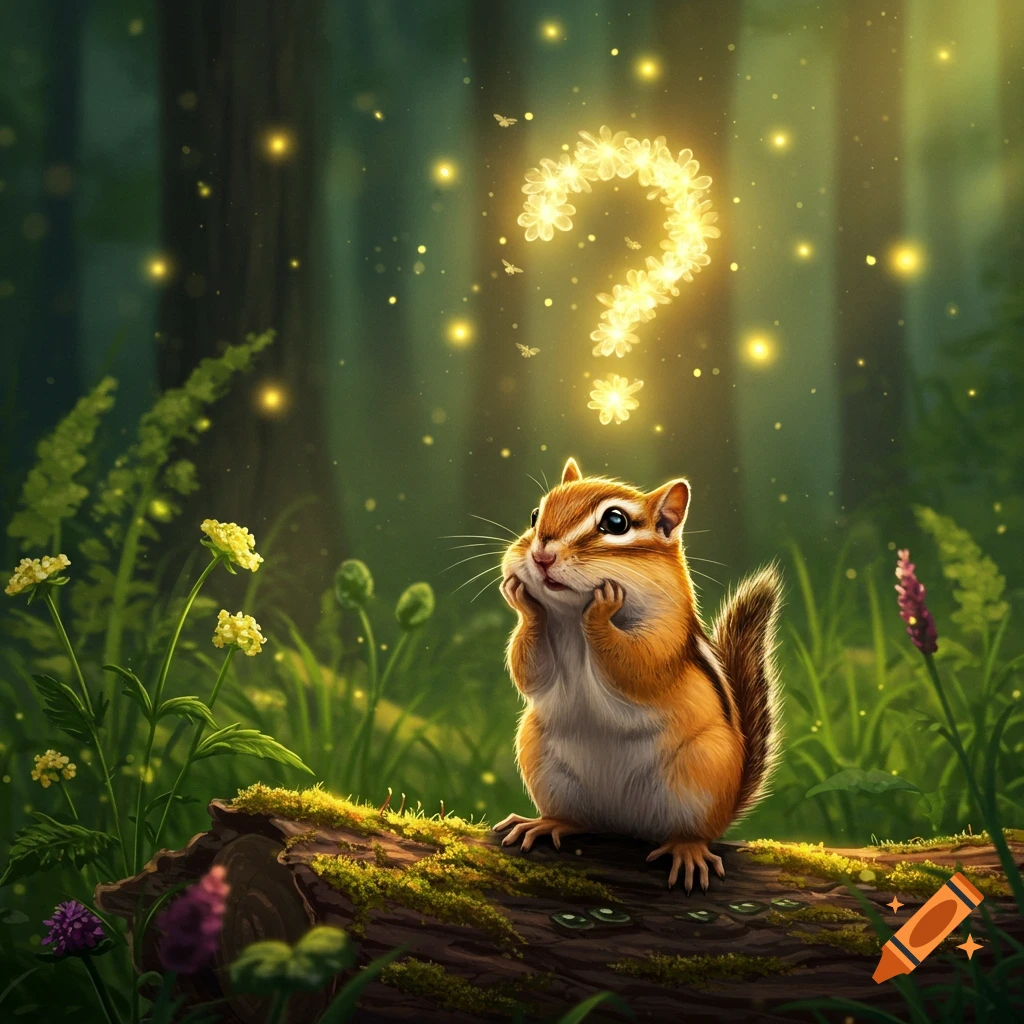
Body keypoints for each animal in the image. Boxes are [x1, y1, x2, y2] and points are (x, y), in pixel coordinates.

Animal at [494, 457, 782, 892]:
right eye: (533, 515)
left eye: (615, 522)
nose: (542, 556)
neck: (570, 613)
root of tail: (624, 824)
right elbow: (530, 670)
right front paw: (523, 599)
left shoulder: (666, 633)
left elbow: (639, 665)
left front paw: (601, 608)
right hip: (541, 760)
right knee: (577, 819)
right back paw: (545, 823)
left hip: (701, 770)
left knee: (693, 831)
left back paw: (687, 849)